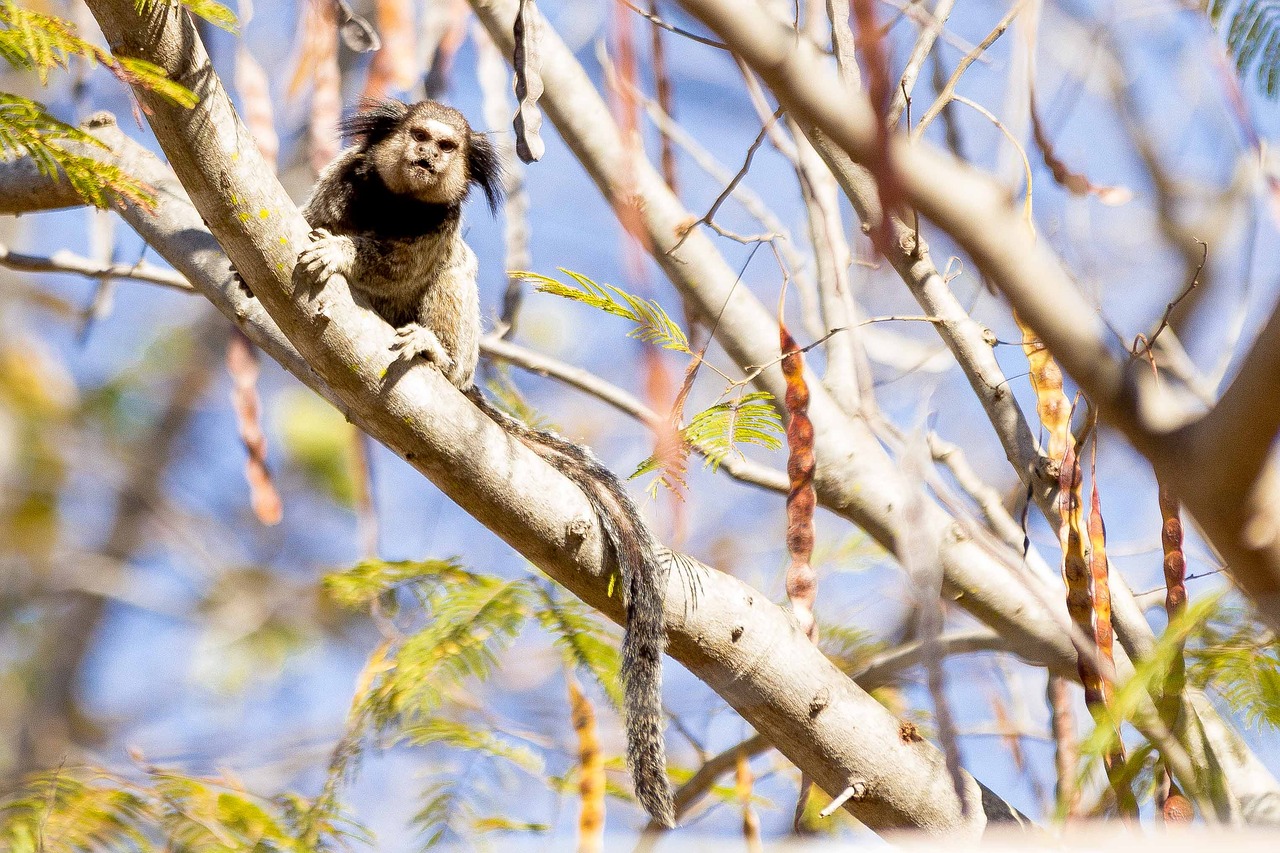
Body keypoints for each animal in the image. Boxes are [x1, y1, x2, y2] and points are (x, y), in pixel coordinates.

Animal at [294, 97, 675, 824]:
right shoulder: (345, 177)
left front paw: (345, 254)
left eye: (448, 147)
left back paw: (435, 356)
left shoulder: (436, 226)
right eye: (419, 136)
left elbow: (400, 261)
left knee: (457, 271)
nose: (428, 157)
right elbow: (316, 215)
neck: (396, 201)